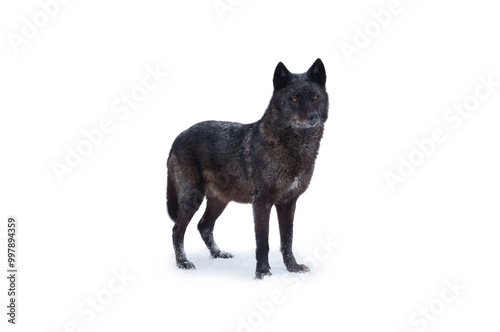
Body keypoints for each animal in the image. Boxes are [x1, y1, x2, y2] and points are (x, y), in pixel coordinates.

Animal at [166, 58, 328, 278]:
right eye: (294, 99)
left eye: (315, 97)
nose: (313, 117)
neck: (293, 148)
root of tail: (178, 137)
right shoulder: (261, 202)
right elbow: (263, 243)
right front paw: (263, 274)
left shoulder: (288, 202)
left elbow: (287, 240)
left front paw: (292, 268)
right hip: (193, 198)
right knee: (177, 230)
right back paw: (183, 262)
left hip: (220, 200)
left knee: (204, 226)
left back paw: (218, 254)